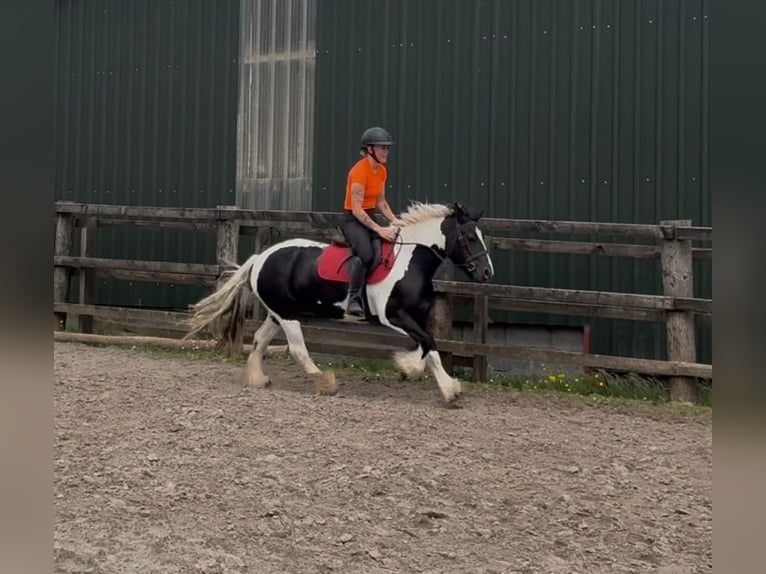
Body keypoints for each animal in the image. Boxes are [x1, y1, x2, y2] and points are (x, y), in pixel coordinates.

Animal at [185, 201, 494, 403]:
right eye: (469, 237)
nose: (486, 272)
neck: (410, 262)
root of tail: (261, 257)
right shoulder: (395, 317)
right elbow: (428, 345)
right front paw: (411, 369)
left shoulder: (416, 319)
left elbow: (430, 348)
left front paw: (447, 388)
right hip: (287, 316)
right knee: (298, 350)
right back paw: (325, 382)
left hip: (277, 313)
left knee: (260, 340)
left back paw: (257, 379)